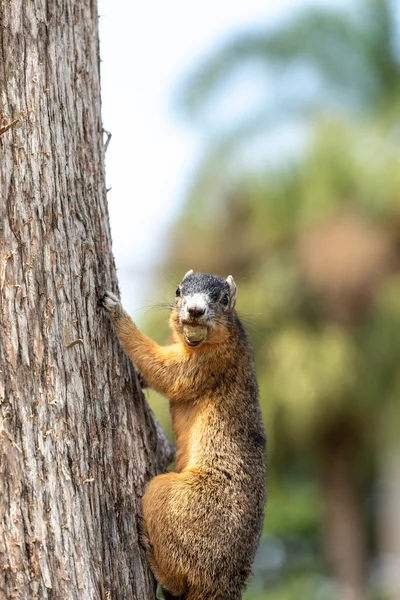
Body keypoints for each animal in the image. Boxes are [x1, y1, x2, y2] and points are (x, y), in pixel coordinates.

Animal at [101, 270, 268, 600]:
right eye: (178, 291)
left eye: (224, 299)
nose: (194, 310)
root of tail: (220, 585)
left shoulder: (208, 363)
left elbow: (166, 374)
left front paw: (117, 313)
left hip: (172, 498)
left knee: (179, 579)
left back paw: (149, 550)